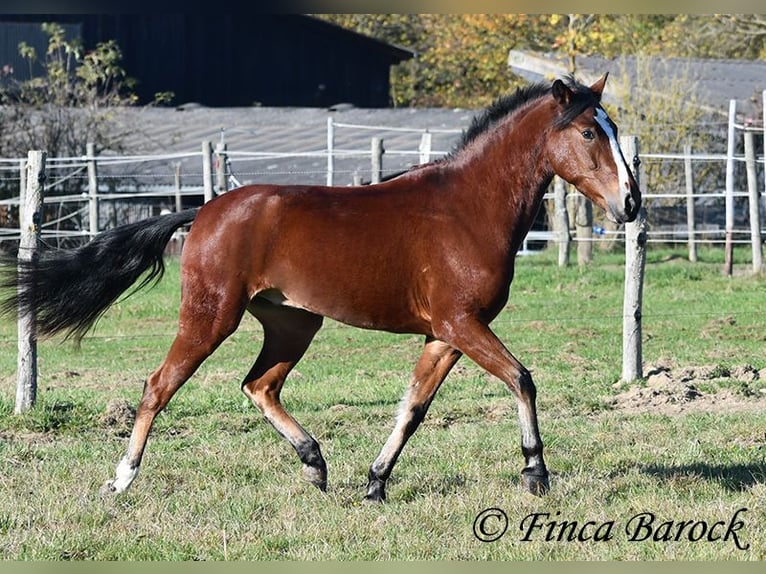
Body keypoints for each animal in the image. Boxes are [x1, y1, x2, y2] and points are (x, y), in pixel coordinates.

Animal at [1, 74, 640, 502]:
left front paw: (376, 483)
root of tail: (203, 211)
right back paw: (122, 479)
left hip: (293, 322)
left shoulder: (445, 335)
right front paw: (536, 473)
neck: (466, 209)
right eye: (590, 131)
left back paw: (315, 462)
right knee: (159, 385)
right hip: (211, 316)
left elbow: (413, 407)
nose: (630, 203)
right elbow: (522, 379)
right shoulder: (462, 324)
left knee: (258, 385)